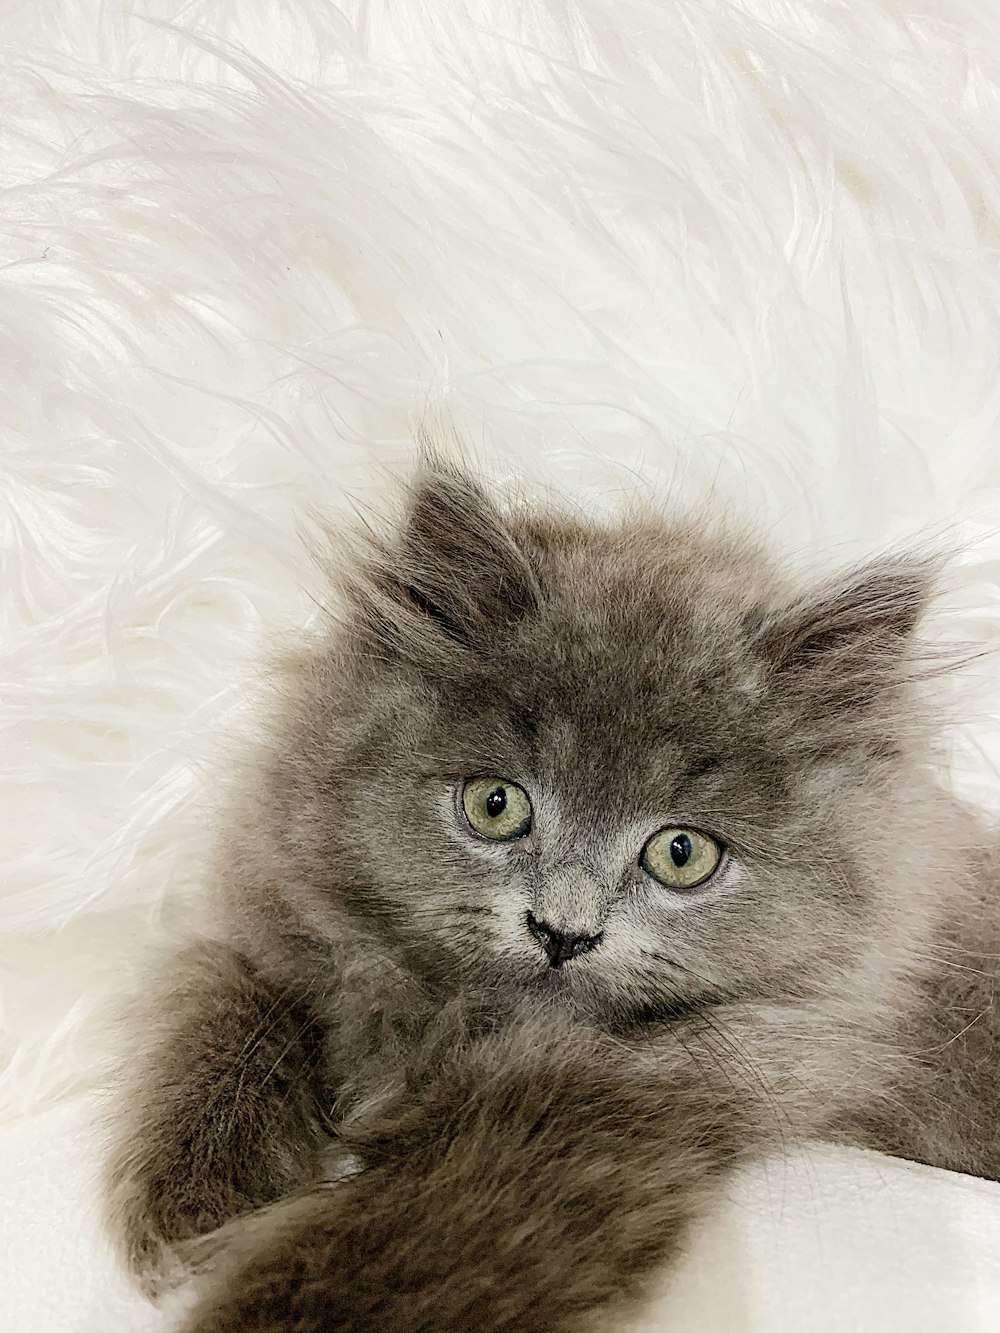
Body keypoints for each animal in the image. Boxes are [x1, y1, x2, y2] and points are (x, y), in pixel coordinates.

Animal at [106, 461, 1000, 1333]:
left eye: (682, 853)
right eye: (495, 803)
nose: (562, 931)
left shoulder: (613, 1114)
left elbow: (411, 1239)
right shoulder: (284, 925)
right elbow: (229, 1018)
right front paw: (193, 1213)